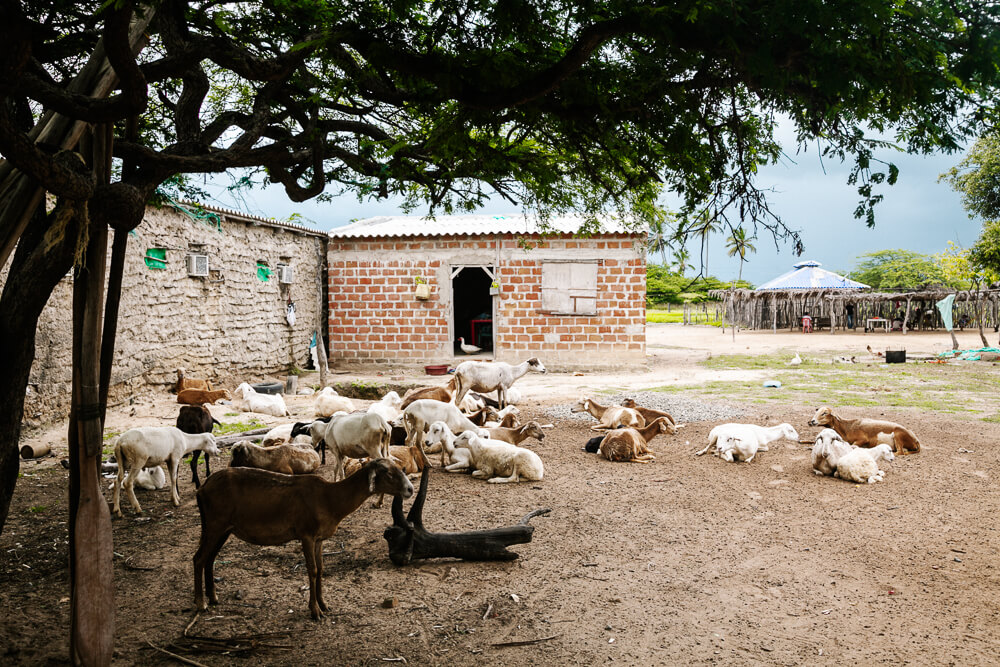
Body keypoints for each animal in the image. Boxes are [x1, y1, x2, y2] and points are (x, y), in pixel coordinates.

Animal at [193, 460, 412, 620]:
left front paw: (324, 605)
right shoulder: (306, 534)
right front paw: (315, 611)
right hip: (215, 523)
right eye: (388, 473)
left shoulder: (319, 538)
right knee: (199, 558)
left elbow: (321, 569)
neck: (331, 500)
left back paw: (213, 597)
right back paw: (201, 603)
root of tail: (202, 488)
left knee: (210, 558)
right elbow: (312, 570)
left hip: (223, 528)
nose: (410, 489)